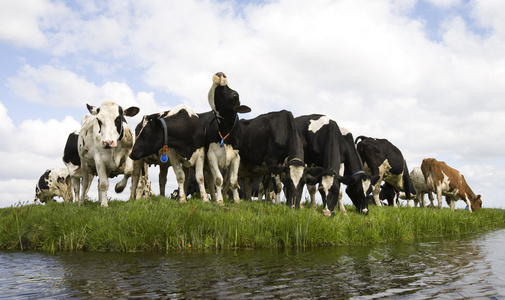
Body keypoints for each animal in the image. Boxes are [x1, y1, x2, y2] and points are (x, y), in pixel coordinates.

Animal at [199, 71, 250, 205]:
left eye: (235, 94)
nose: (221, 73)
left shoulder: (236, 156)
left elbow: (233, 180)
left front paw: (236, 200)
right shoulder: (211, 155)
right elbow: (218, 179)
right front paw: (220, 201)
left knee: (211, 181)